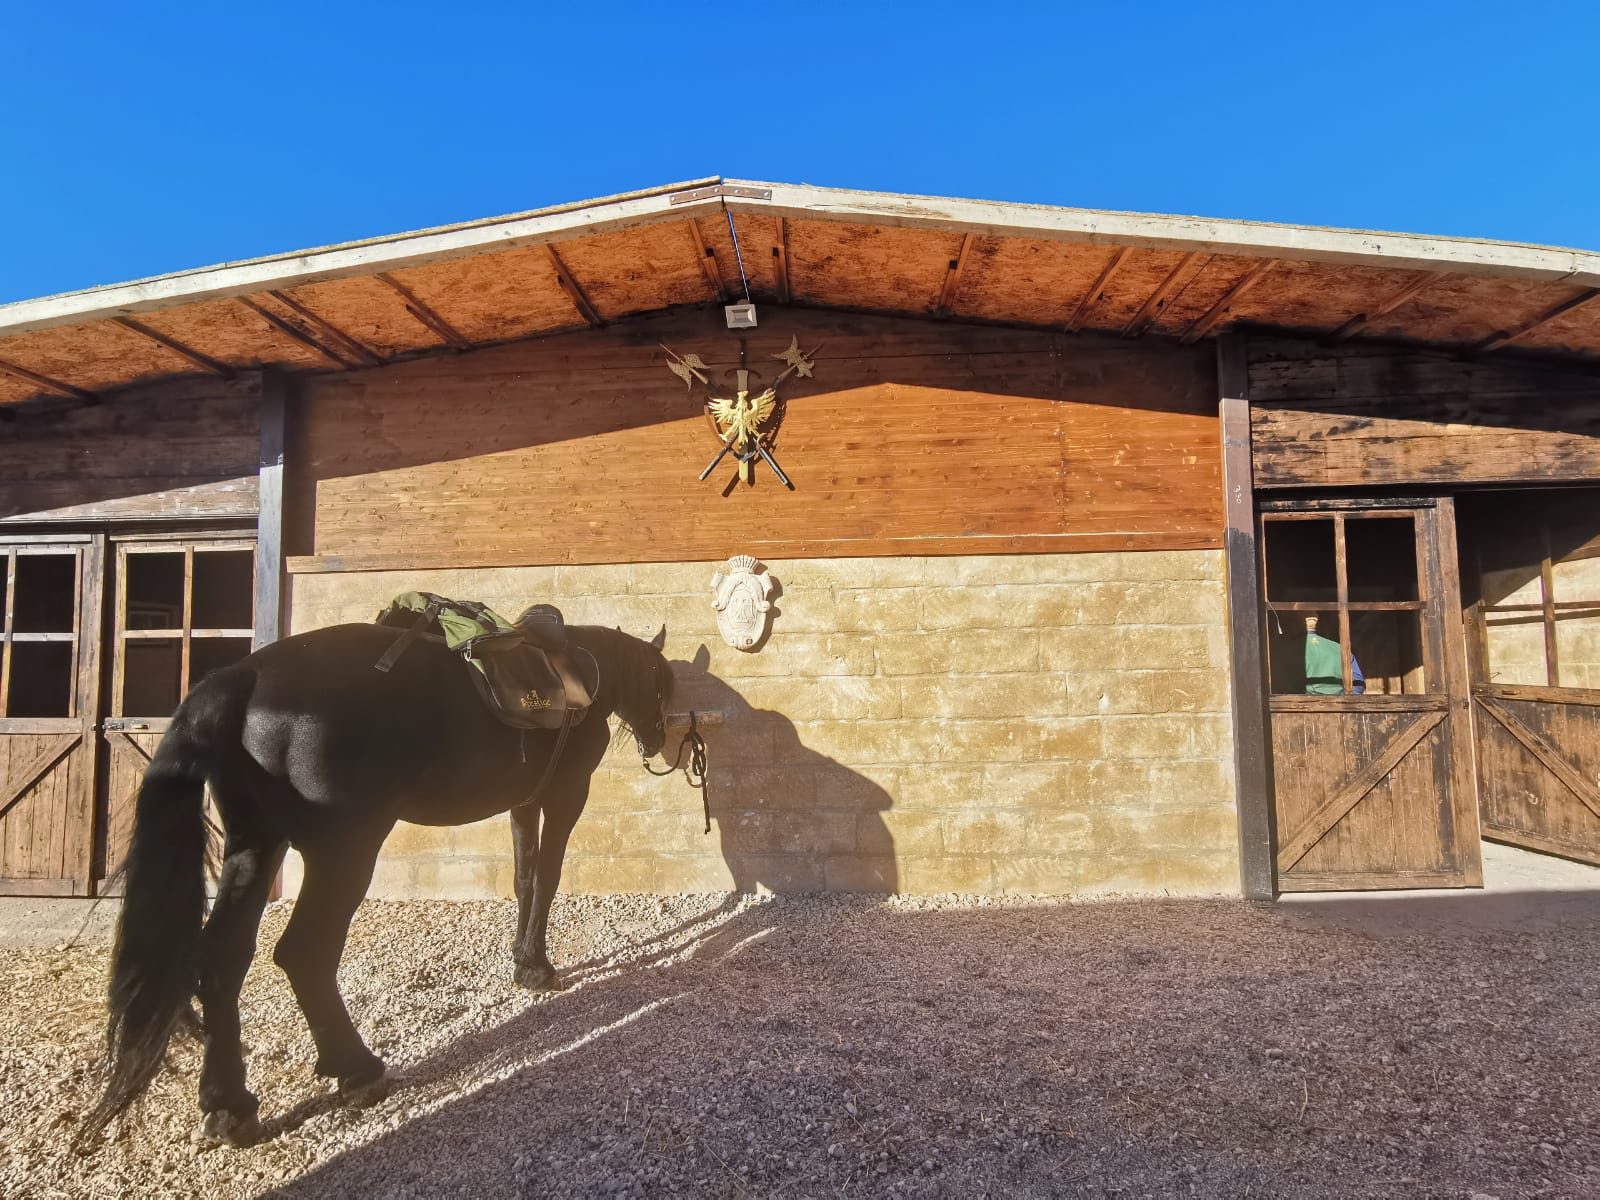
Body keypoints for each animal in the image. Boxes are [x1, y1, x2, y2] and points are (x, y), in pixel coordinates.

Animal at [76, 617, 674, 1152]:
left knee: (223, 961)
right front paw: (541, 969)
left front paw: (524, 965)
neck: (585, 675)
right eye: (663, 680)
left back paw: (230, 1108)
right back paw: (358, 1070)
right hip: (344, 850)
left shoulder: (524, 803)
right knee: (305, 953)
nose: (661, 743)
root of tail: (242, 677)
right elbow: (547, 878)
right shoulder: (565, 795)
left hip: (256, 846)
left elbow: (525, 880)